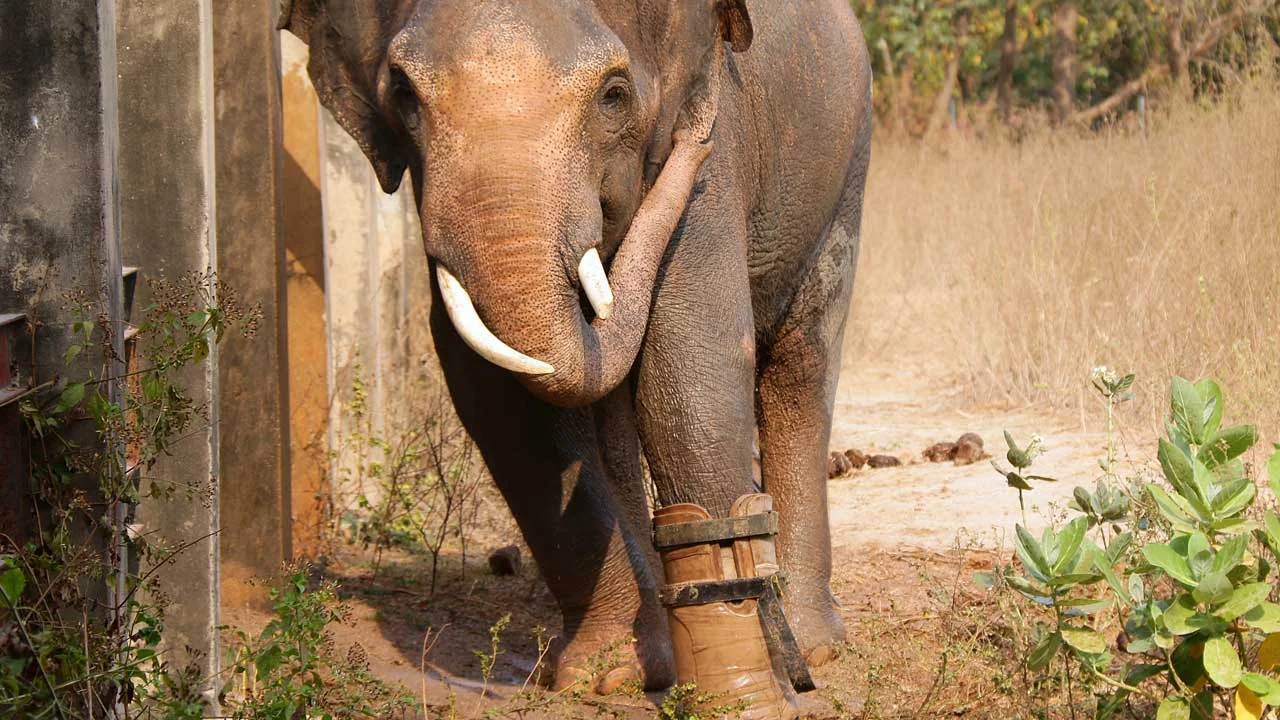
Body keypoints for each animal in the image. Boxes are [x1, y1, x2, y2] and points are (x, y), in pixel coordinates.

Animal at [280, 0, 872, 695]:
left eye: (614, 95)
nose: (695, 143)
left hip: (846, 164)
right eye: (403, 94)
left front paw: (744, 676)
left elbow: (690, 355)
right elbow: (500, 393)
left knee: (804, 360)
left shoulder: (713, 155)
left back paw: (814, 644)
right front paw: (609, 675)